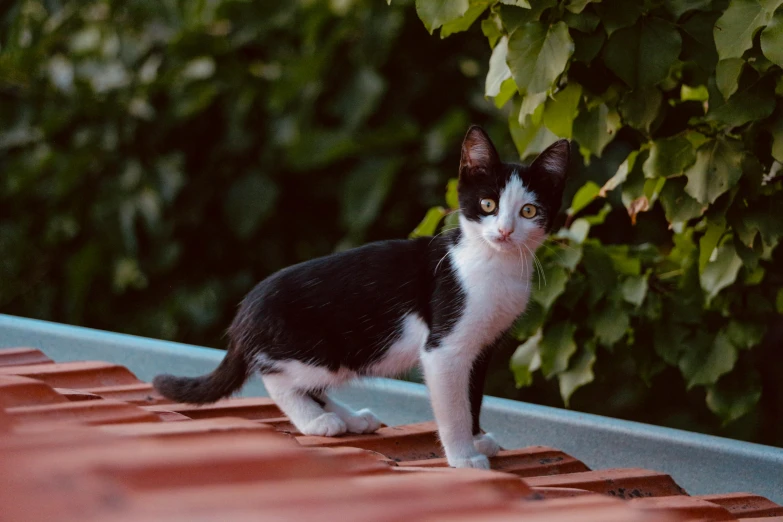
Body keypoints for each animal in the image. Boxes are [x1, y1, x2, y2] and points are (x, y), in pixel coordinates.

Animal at [155, 126, 568, 468]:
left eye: (529, 210)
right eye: (487, 205)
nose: (504, 232)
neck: (494, 264)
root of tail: (245, 311)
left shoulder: (483, 348)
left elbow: (474, 396)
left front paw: (477, 439)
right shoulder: (444, 349)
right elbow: (453, 407)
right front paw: (464, 456)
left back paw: (350, 419)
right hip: (319, 351)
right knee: (278, 377)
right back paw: (316, 421)